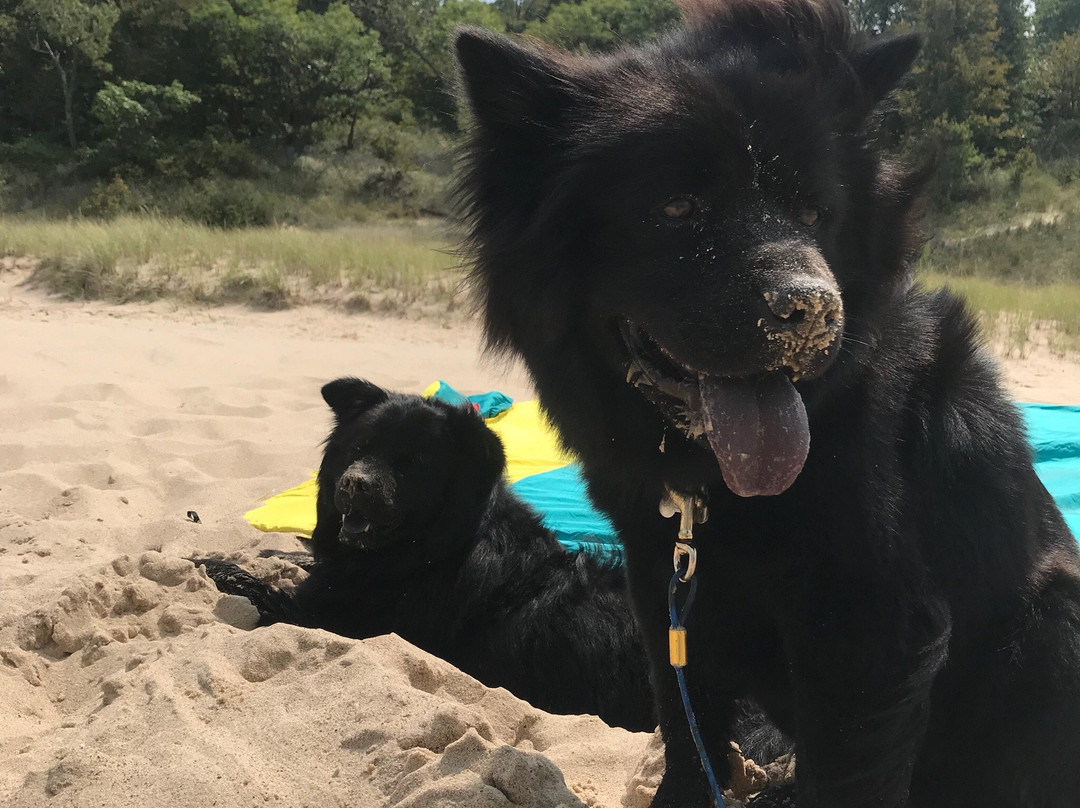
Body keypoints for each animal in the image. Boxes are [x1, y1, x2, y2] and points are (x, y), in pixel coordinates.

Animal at [453, 1, 1080, 808]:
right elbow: (686, 726)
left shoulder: (875, 626)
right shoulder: (661, 581)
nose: (811, 313)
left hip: (1052, 627)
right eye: (678, 205)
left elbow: (845, 775)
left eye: (817, 213)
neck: (719, 484)